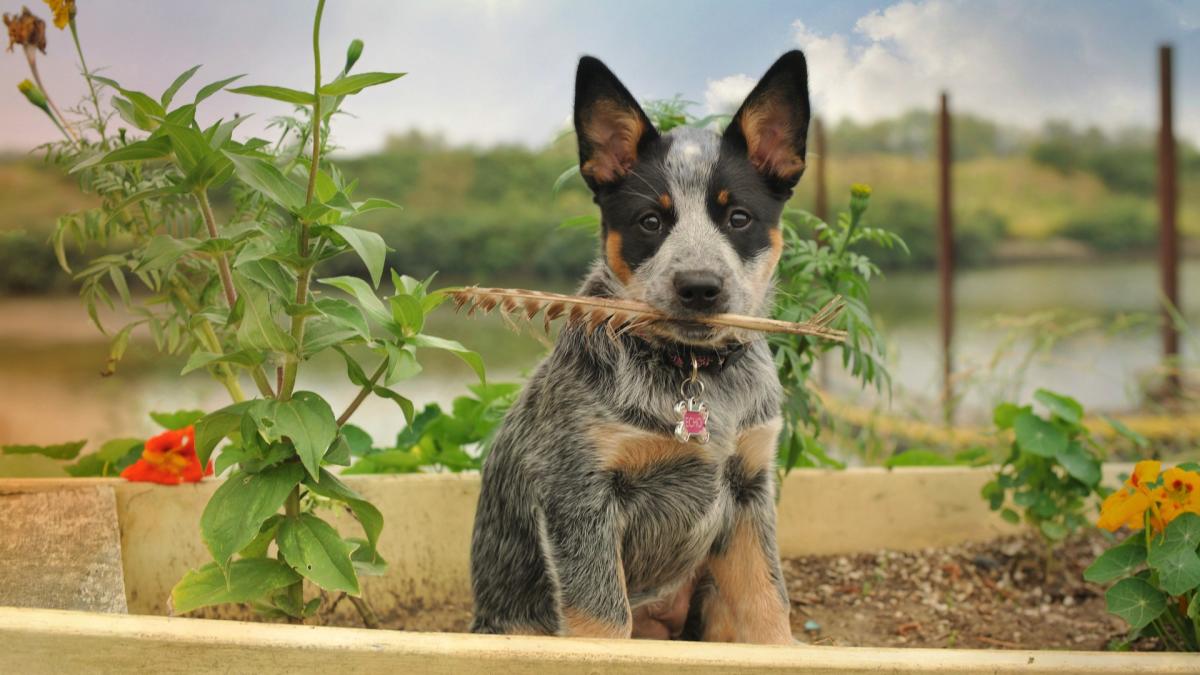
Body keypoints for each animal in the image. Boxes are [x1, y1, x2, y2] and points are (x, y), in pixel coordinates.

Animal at [463, 49, 811, 638]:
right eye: (651, 220)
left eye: (738, 217)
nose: (699, 286)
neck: (693, 373)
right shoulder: (578, 494)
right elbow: (603, 621)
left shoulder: (748, 488)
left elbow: (768, 604)